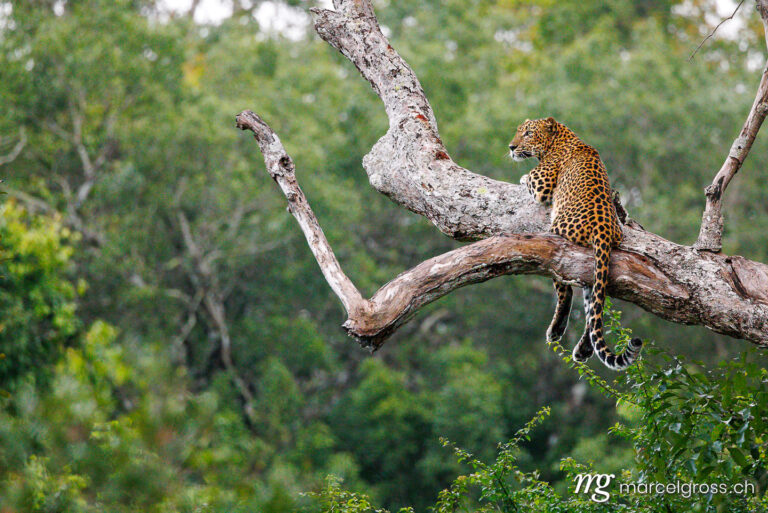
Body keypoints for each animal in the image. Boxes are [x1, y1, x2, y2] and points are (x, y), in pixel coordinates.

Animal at [510, 117, 640, 370]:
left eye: (528, 133)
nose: (511, 147)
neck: (561, 136)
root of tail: (605, 228)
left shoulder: (542, 183)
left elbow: (528, 177)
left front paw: (521, 177)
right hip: (594, 262)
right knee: (594, 305)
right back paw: (583, 349)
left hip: (558, 238)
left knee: (565, 290)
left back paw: (556, 329)